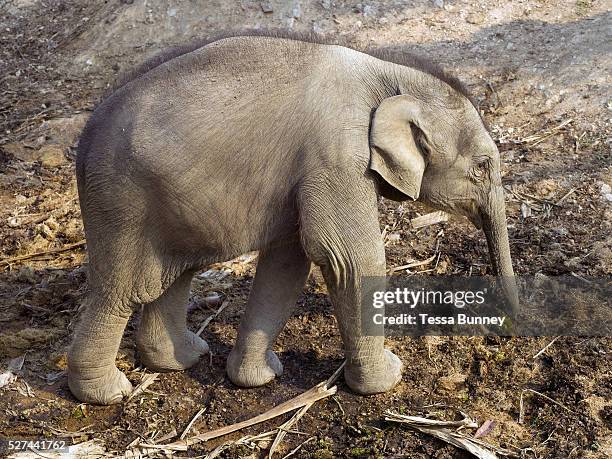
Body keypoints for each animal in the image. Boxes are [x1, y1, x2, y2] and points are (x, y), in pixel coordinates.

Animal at [68, 32, 516, 404]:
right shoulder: (336, 157)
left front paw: (257, 378)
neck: (388, 73)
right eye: (482, 166)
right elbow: (349, 259)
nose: (506, 329)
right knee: (119, 292)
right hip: (122, 204)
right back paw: (109, 393)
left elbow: (288, 261)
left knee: (174, 274)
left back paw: (182, 358)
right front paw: (387, 378)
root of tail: (84, 141)